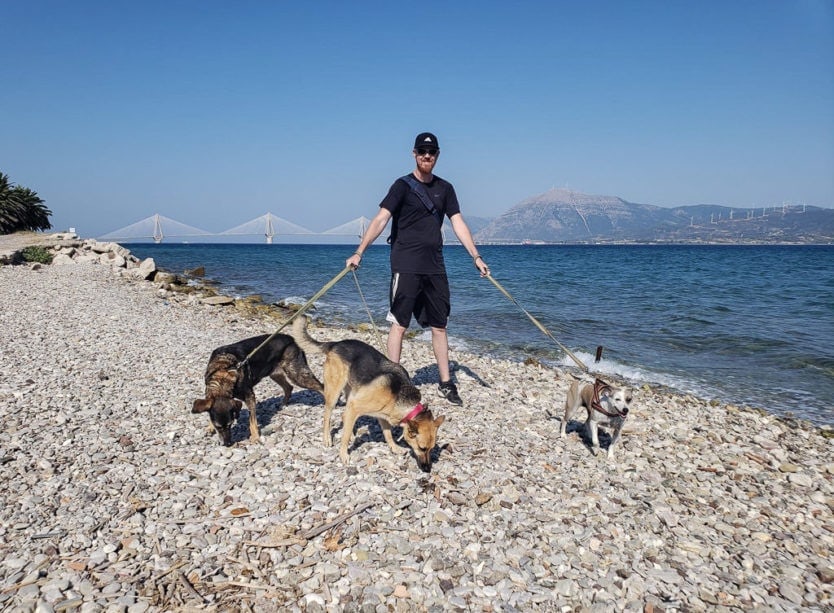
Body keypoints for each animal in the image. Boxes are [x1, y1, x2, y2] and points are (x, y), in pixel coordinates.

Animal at [192, 334, 322, 444]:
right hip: (275, 374)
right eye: (218, 427)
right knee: (289, 387)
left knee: (320, 386)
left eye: (230, 424)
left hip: (297, 374)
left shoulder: (250, 397)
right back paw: (283, 404)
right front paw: (209, 427)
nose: (227, 444)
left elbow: (252, 421)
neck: (222, 374)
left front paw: (255, 437)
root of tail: (292, 339)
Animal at [288, 314, 446, 470]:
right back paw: (327, 438)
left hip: (352, 391)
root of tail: (335, 344)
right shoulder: (356, 406)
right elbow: (345, 436)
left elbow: (387, 433)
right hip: (334, 393)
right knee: (328, 416)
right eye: (422, 448)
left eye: (431, 449)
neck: (398, 396)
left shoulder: (382, 414)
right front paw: (343, 454)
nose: (428, 470)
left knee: (345, 417)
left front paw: (394, 448)